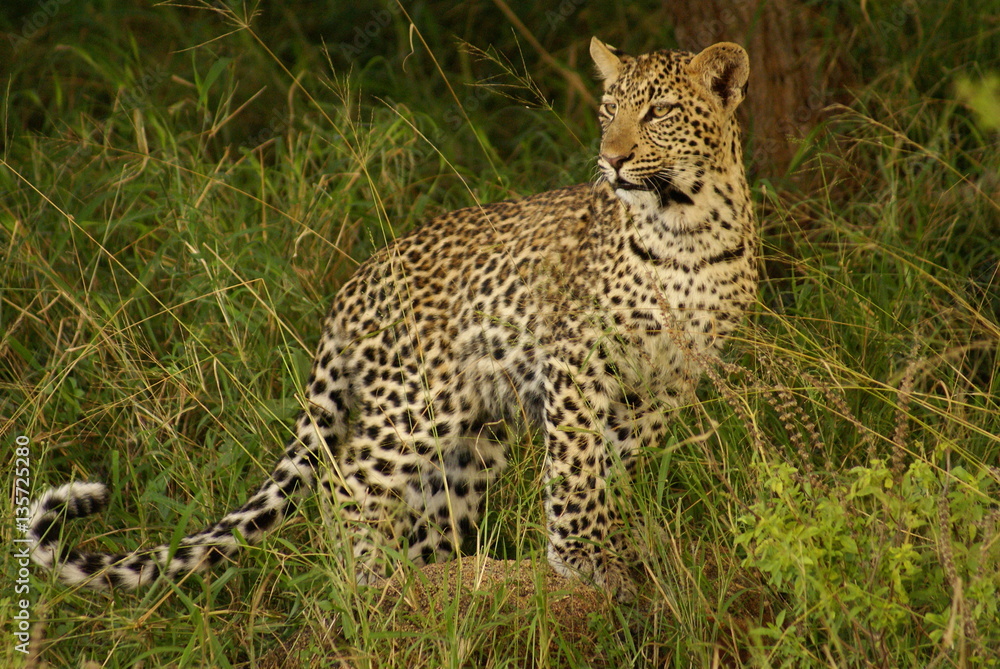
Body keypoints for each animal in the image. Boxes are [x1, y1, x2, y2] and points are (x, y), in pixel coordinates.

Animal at [29, 37, 756, 600]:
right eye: (608, 111)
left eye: (658, 111)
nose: (612, 158)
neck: (687, 224)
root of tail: (356, 280)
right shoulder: (578, 360)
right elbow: (578, 466)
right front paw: (582, 556)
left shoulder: (670, 380)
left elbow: (615, 464)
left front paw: (612, 547)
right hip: (415, 398)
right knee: (346, 483)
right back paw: (369, 582)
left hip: (475, 432)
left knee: (429, 505)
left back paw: (432, 578)